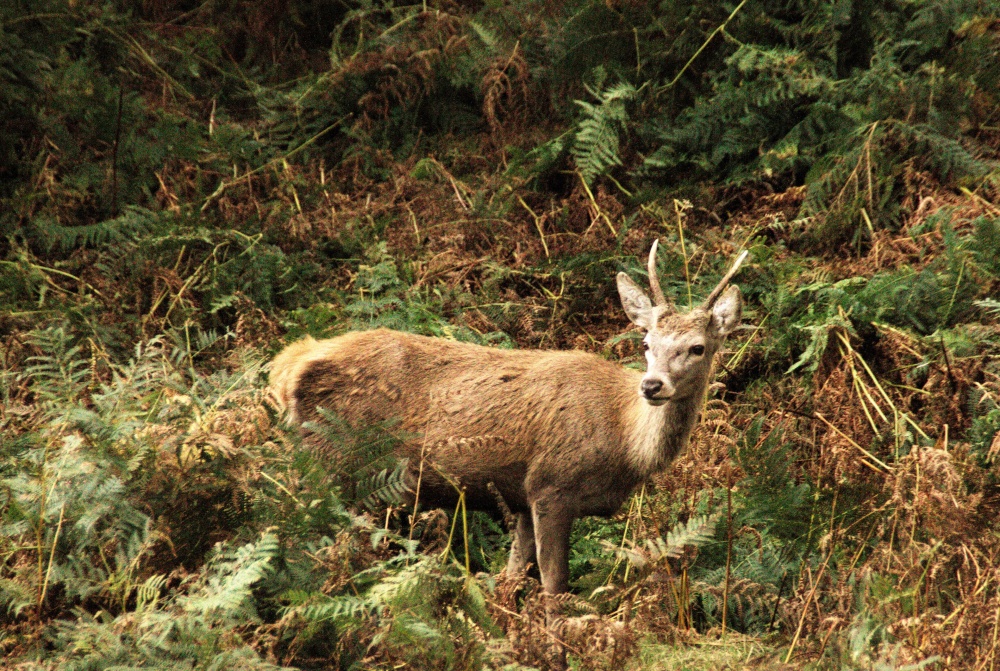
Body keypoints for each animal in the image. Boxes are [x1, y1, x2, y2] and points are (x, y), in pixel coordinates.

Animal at [270, 244, 748, 600]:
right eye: (646, 342)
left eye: (698, 347)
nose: (651, 385)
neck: (623, 442)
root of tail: (289, 365)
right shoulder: (551, 484)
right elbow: (555, 585)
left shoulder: (519, 496)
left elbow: (512, 575)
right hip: (331, 461)